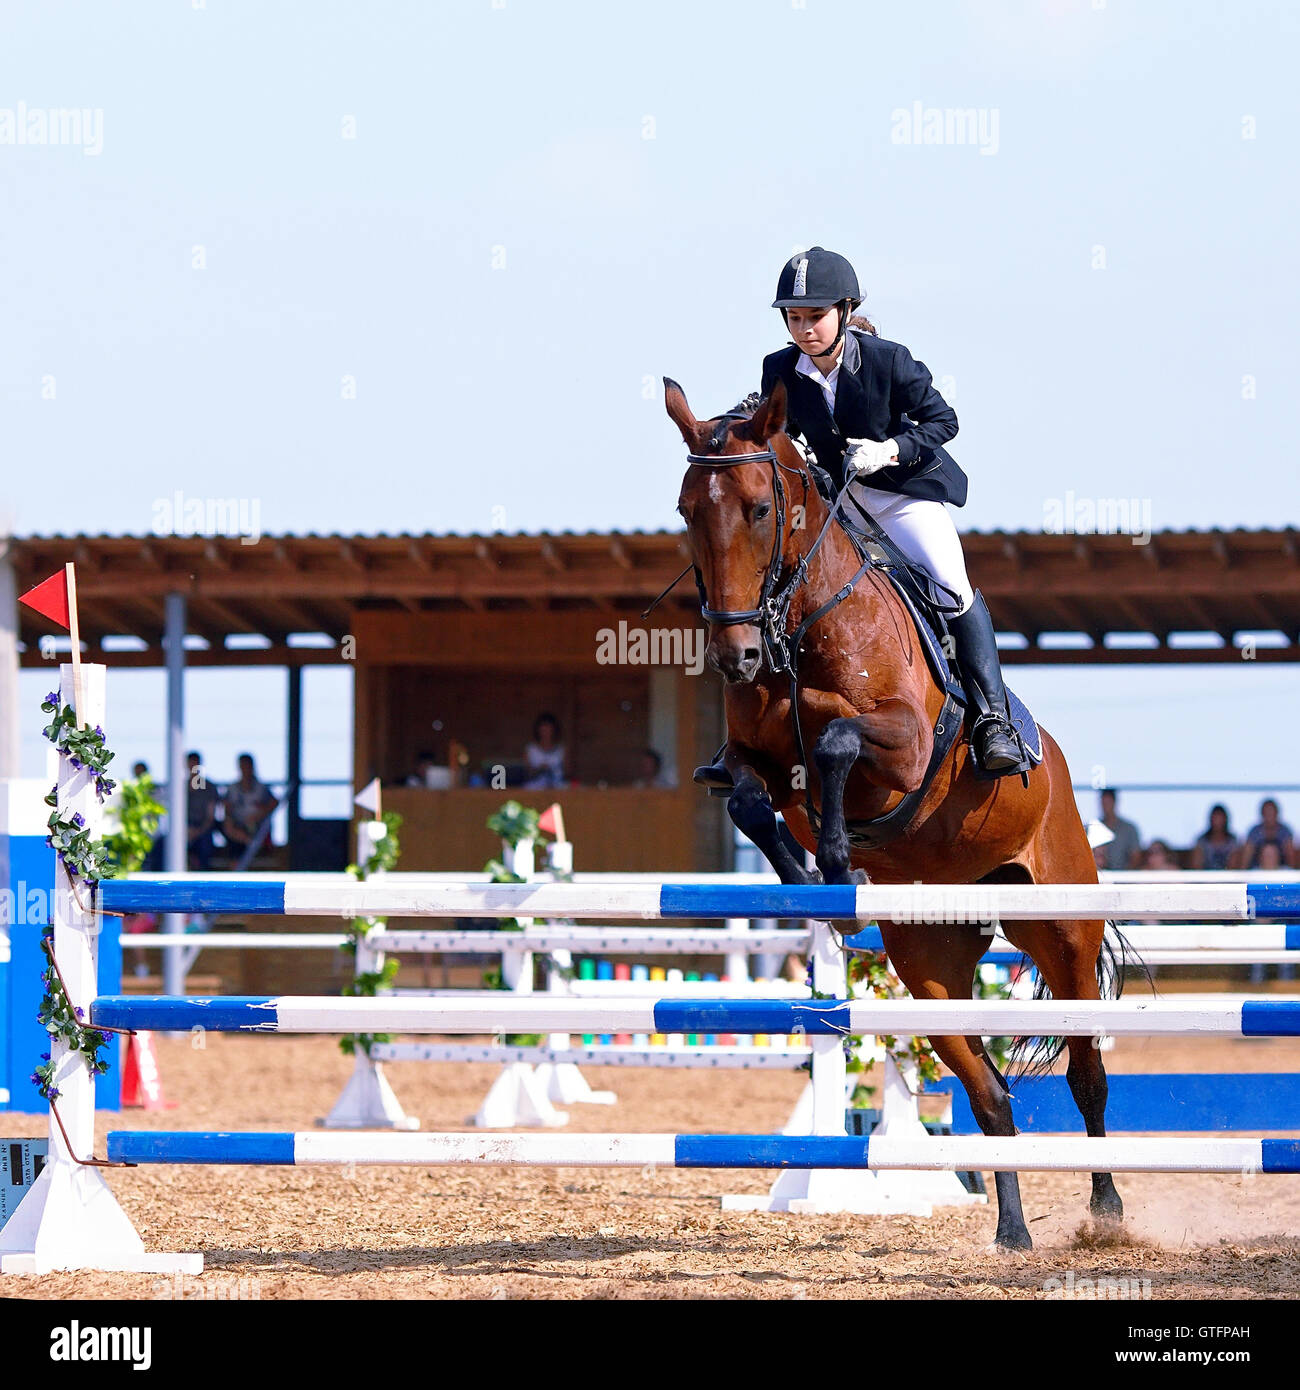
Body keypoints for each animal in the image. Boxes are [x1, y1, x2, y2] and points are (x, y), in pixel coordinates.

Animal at [665, 376, 1126, 1251]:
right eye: (685, 511)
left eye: (759, 509)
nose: (737, 657)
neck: (798, 626)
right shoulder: (750, 760)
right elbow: (749, 797)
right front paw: (810, 882)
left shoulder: (906, 744)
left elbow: (836, 742)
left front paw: (840, 861)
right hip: (929, 965)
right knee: (990, 1095)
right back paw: (1011, 1231)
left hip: (1061, 927)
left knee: (1087, 1071)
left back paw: (1109, 1209)